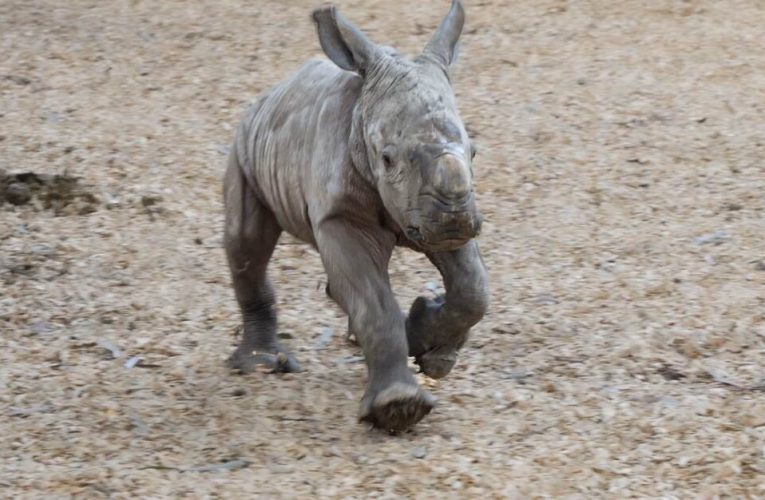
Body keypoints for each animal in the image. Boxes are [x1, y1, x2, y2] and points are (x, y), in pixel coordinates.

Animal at [222, 0, 490, 430]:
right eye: (388, 159)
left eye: (476, 152)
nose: (455, 219)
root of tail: (269, 93)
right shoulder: (339, 215)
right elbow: (372, 302)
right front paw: (399, 409)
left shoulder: (427, 214)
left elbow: (473, 287)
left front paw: (430, 349)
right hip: (244, 145)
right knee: (246, 245)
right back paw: (262, 366)